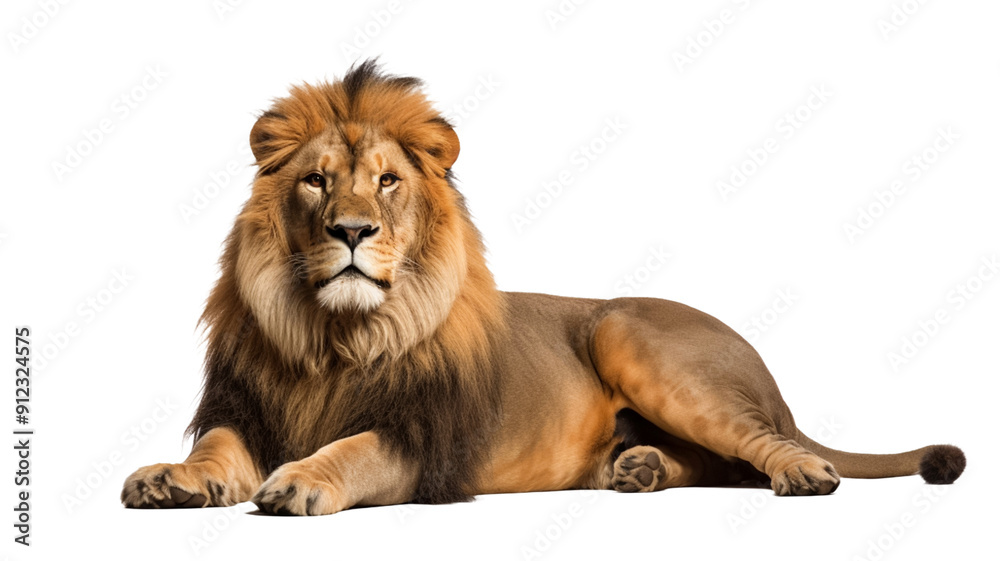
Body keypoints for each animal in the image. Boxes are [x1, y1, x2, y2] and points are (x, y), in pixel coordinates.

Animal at [121, 61, 965, 515]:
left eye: (387, 182)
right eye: (316, 182)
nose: (352, 230)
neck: (336, 336)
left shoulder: (425, 443)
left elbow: (352, 448)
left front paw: (298, 478)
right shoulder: (244, 408)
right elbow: (218, 448)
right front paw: (170, 478)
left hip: (631, 334)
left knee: (760, 444)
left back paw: (800, 471)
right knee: (722, 465)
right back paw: (640, 468)